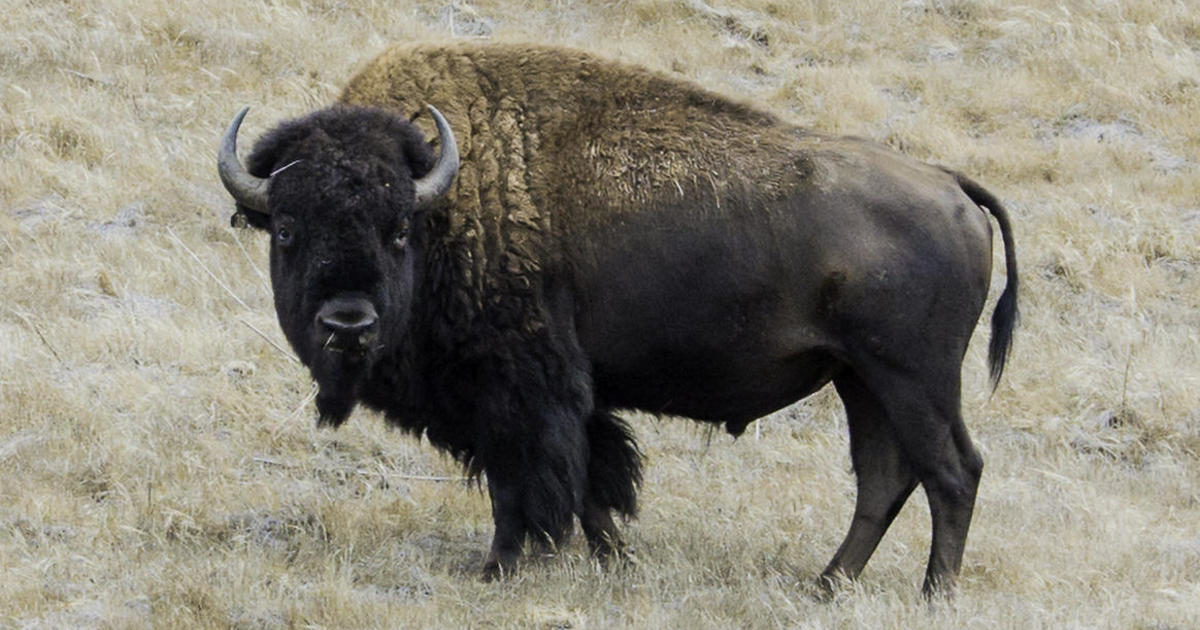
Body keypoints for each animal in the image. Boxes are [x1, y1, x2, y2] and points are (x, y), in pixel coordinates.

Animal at [217, 42, 1017, 595]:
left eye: (397, 229)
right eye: (286, 228)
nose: (347, 323)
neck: (447, 204)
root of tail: (951, 184)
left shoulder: (517, 395)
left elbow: (528, 482)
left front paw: (499, 567)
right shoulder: (571, 399)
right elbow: (592, 483)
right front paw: (613, 561)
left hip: (913, 380)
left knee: (952, 472)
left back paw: (933, 596)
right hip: (862, 383)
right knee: (885, 478)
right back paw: (826, 586)